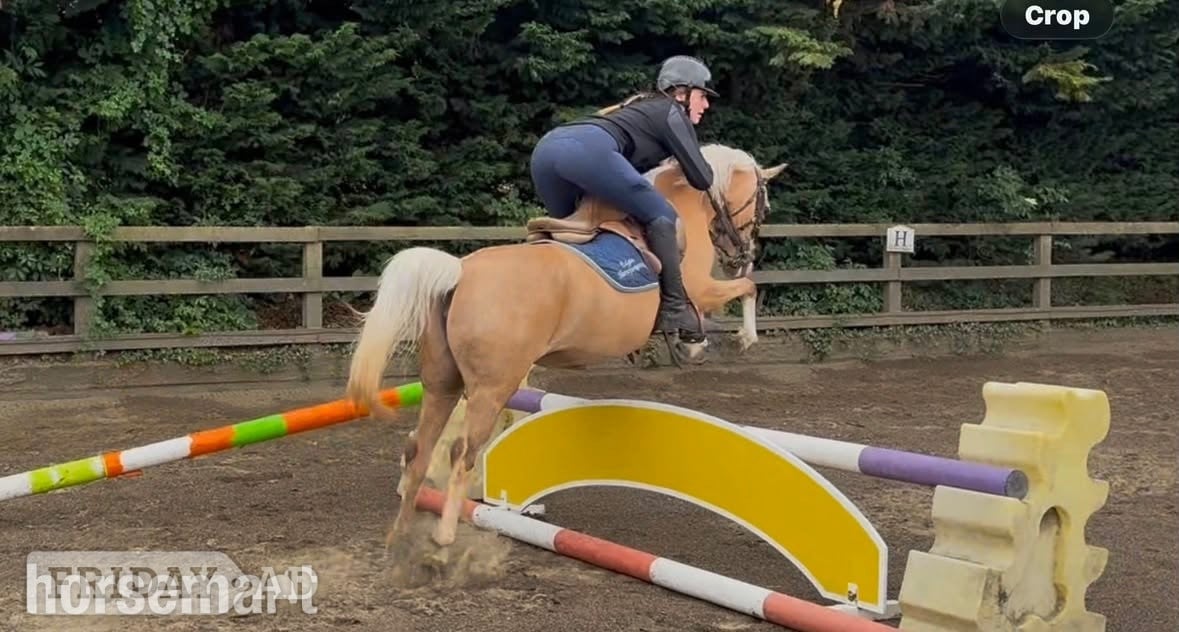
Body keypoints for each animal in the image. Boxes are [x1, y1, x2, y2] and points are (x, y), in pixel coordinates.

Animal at [345, 143, 786, 548]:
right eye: (763, 204)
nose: (744, 254)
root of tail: (460, 271)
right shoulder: (700, 290)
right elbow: (747, 289)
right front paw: (739, 338)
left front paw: (697, 345)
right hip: (491, 388)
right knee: (461, 452)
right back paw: (445, 535)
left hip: (443, 382)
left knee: (420, 447)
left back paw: (402, 529)